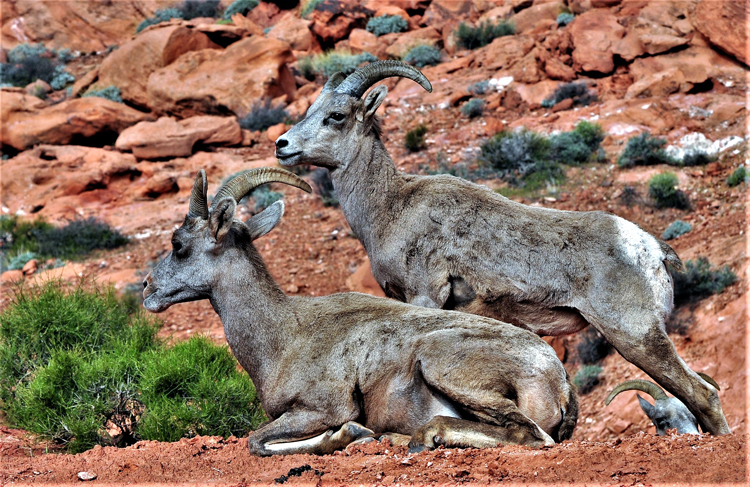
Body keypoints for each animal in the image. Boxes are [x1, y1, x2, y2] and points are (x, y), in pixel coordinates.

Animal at [141, 168, 580, 458]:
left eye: (178, 245)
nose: (147, 288)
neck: (283, 336)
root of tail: (558, 383)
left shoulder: (321, 408)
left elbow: (257, 441)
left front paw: (349, 435)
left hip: (441, 364)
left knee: (528, 435)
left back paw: (421, 436)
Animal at [274, 61, 732, 438]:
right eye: (310, 110)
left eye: (335, 117)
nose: (282, 145)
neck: (391, 207)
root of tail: (652, 250)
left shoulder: (426, 296)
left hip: (636, 336)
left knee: (702, 394)